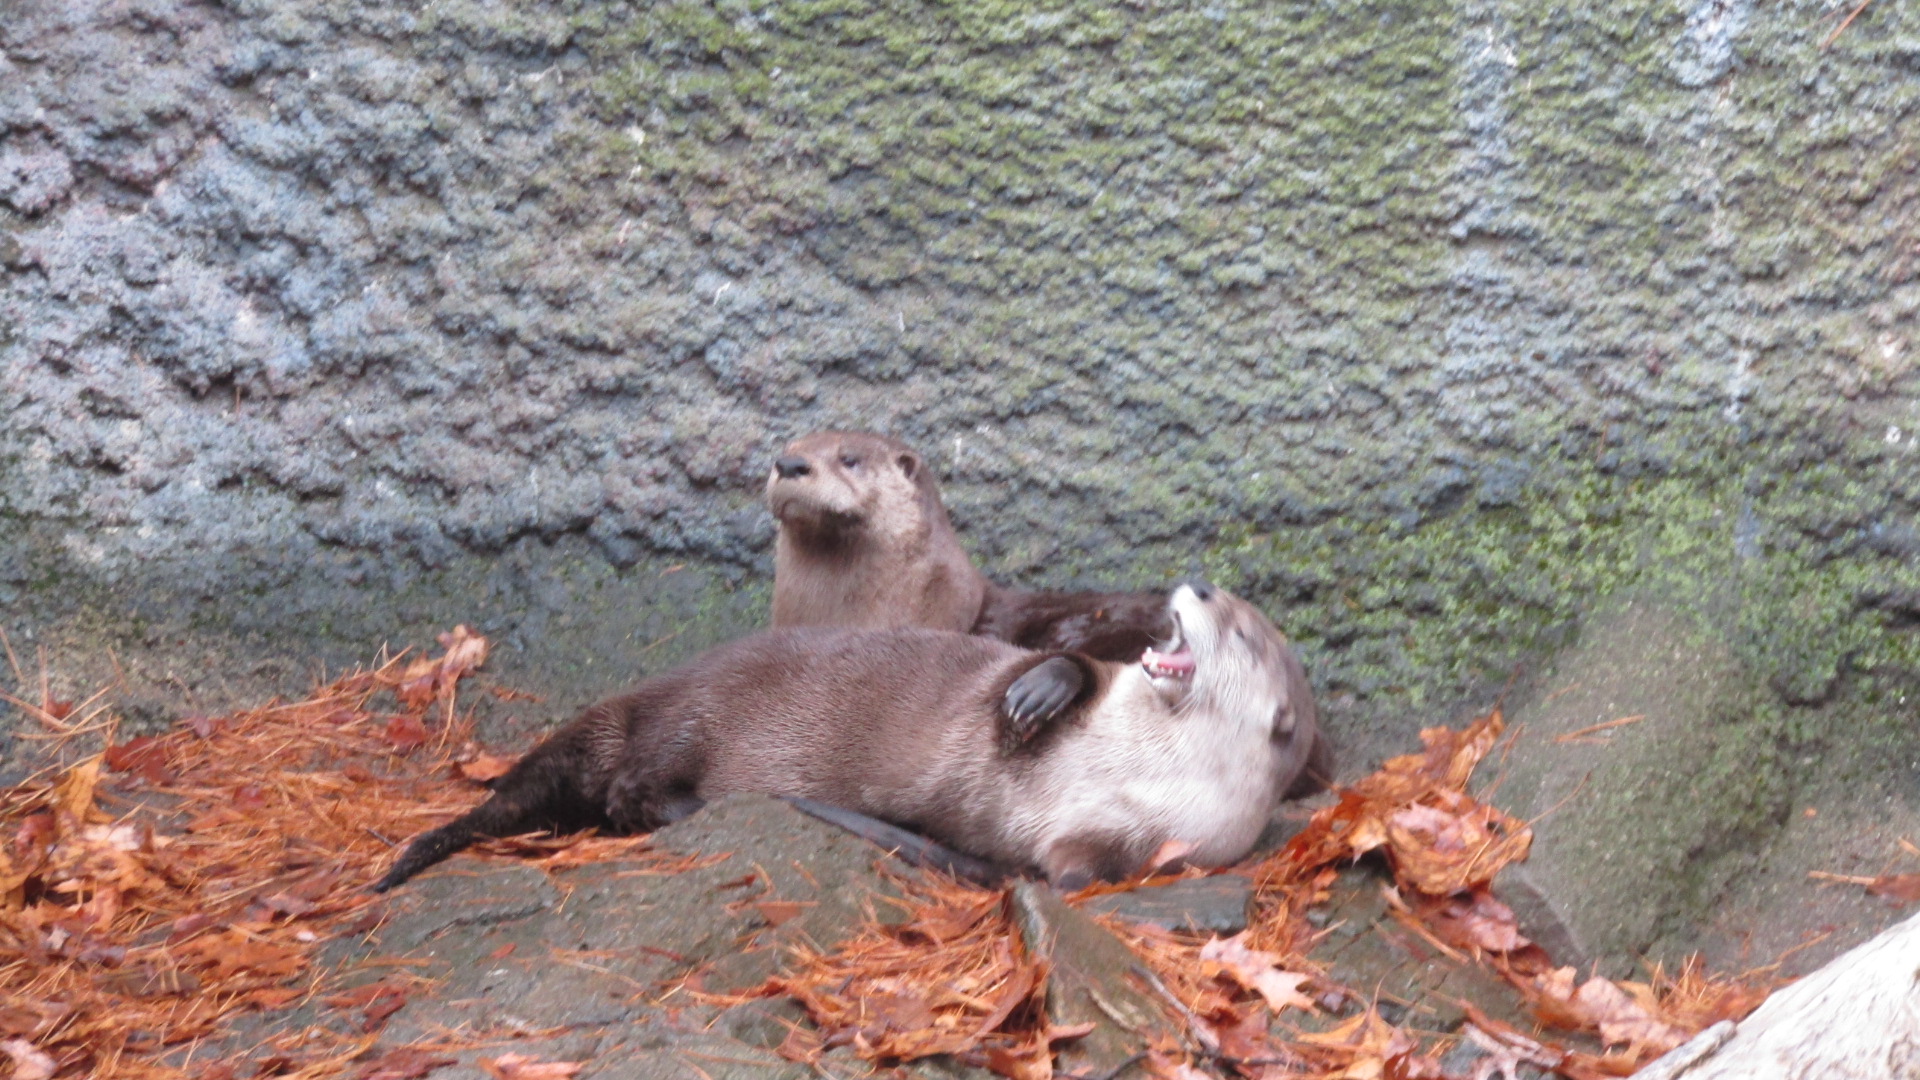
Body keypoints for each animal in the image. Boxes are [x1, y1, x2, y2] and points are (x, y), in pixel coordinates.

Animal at [374, 582, 1322, 891]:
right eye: (1225, 604)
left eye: (1242, 632)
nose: (1195, 585)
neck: (1134, 765)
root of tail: (648, 691)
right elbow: (1059, 672)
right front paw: (1038, 692)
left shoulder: (1165, 841)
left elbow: (1066, 876)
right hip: (691, 715)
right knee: (623, 787)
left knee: (618, 795)